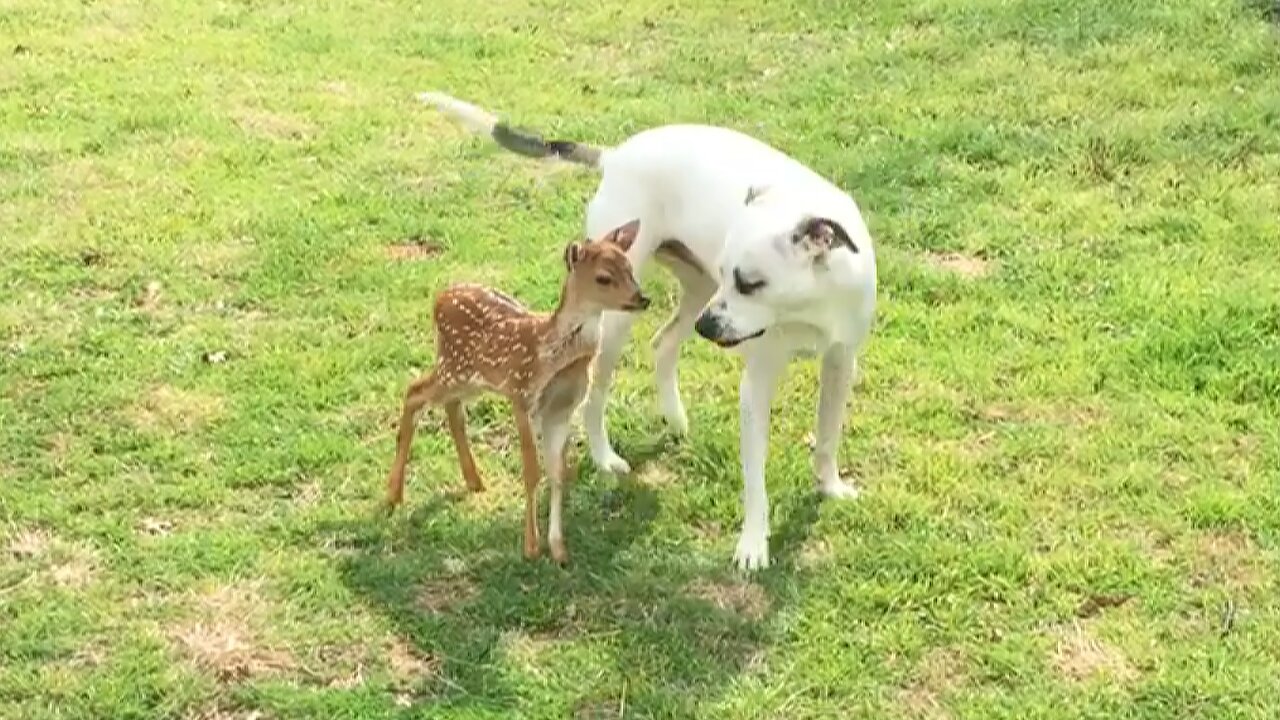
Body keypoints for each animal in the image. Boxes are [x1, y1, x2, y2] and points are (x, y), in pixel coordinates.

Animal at [376, 219, 640, 561]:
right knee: (414, 392)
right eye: (604, 277)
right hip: (454, 366)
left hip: (471, 378)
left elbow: (558, 473)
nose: (642, 298)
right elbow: (531, 470)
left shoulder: (561, 409)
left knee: (450, 405)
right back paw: (393, 494)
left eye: (630, 268)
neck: (554, 354)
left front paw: (558, 548)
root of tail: (438, 298)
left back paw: (474, 481)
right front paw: (531, 546)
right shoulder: (521, 394)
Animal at [414, 92, 875, 568]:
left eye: (750, 282)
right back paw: (605, 457)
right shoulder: (758, 382)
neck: (810, 302)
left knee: (663, 343)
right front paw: (752, 544)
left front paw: (829, 486)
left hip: (695, 289)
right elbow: (756, 481)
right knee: (595, 397)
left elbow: (827, 436)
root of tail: (615, 156)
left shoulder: (841, 362)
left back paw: (674, 416)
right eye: (733, 274)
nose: (708, 327)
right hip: (618, 317)